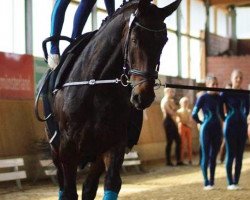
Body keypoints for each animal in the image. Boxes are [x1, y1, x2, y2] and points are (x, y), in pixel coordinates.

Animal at [52, 0, 182, 200]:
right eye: (135, 39)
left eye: (164, 41)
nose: (144, 96)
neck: (95, 85)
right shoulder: (67, 147)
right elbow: (68, 191)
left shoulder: (114, 143)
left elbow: (112, 183)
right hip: (57, 152)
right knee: (63, 185)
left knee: (88, 188)